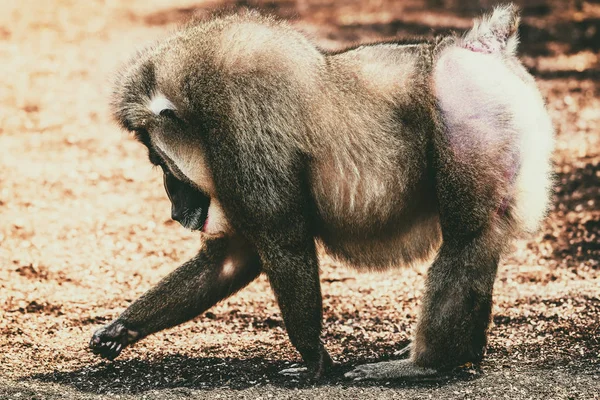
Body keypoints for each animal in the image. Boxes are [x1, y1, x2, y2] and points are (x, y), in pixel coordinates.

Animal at [89, 3, 552, 382]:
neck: (199, 105)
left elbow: (284, 240)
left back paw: (425, 365)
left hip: (465, 115)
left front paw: (314, 360)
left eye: (157, 160)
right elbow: (231, 257)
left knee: (467, 241)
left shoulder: (241, 126)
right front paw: (122, 328)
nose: (173, 208)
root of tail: (476, 48)